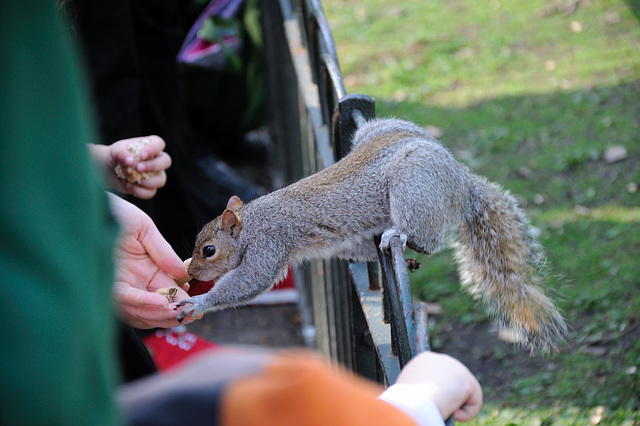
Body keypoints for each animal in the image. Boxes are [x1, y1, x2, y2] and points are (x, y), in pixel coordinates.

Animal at [175, 118, 564, 352]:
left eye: (208, 250)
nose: (191, 273)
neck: (253, 221)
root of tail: (460, 180)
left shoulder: (270, 243)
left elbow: (249, 281)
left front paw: (199, 302)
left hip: (413, 183)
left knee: (430, 239)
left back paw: (402, 235)